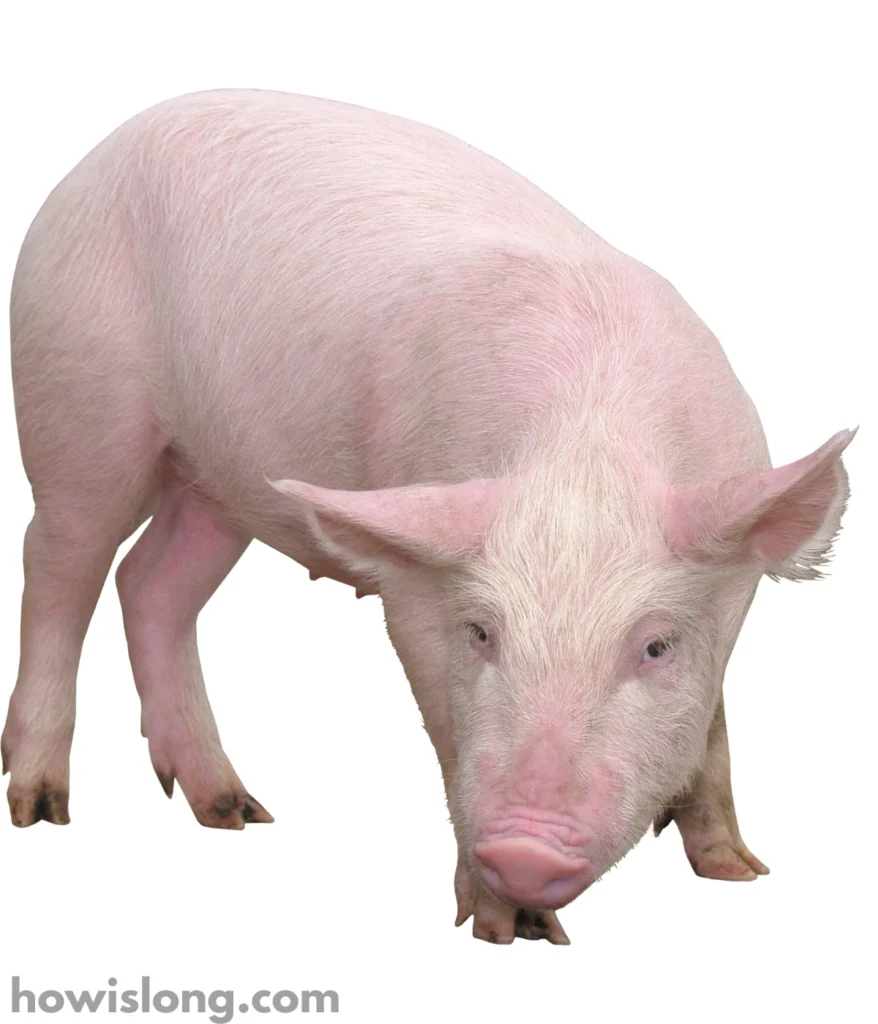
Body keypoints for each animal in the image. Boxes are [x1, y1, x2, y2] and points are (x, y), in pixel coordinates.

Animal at [2, 90, 853, 944]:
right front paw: (514, 931)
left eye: (655, 646)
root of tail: (99, 154)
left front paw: (739, 871)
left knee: (152, 582)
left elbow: (714, 723)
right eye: (480, 633)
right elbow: (445, 724)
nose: (525, 853)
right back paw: (41, 807)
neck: (586, 451)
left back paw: (234, 811)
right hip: (76, 400)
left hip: (216, 479)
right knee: (58, 564)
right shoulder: (413, 583)